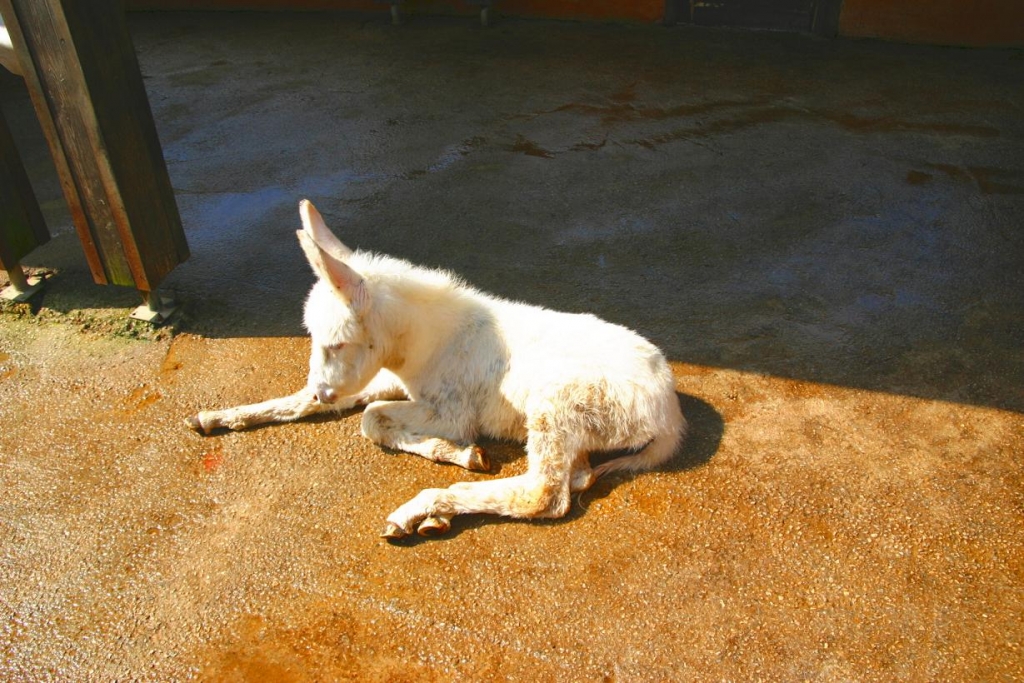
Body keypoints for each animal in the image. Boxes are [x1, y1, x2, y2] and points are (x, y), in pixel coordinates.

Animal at [188, 200, 684, 536]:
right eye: (312, 338)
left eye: (337, 343)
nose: (322, 390)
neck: (419, 344)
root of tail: (670, 414)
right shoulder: (385, 379)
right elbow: (311, 406)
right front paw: (217, 417)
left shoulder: (451, 412)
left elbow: (370, 420)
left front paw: (457, 452)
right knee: (575, 477)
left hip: (556, 404)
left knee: (543, 495)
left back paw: (423, 508)